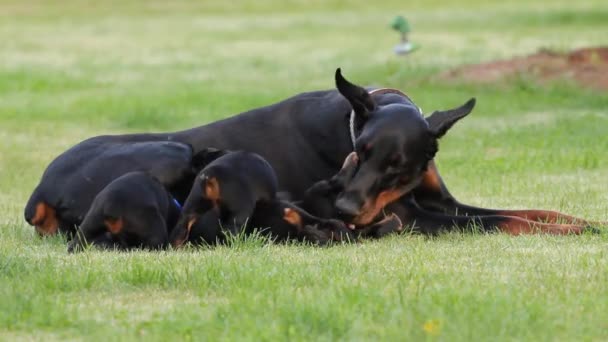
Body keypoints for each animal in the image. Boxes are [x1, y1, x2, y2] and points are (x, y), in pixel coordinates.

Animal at [25, 68, 600, 236]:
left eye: (396, 167)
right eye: (356, 154)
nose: (344, 209)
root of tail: (39, 193)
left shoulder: (439, 201)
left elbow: (530, 210)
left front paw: (586, 223)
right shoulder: (415, 217)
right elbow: (504, 221)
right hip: (172, 151)